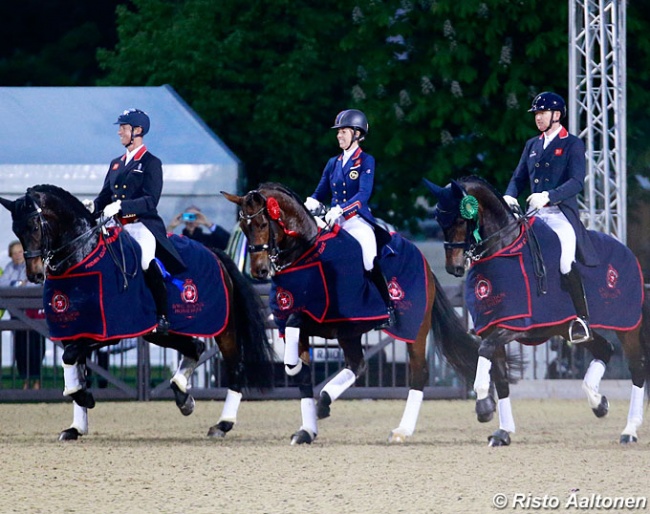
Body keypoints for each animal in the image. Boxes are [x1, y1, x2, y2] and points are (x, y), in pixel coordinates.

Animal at [0, 186, 274, 438]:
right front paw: (76, 425)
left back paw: (222, 424)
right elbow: (74, 366)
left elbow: (70, 358)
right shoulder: (74, 329)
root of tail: (214, 253)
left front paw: (84, 398)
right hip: (159, 333)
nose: (35, 274)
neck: (83, 258)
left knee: (234, 368)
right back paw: (183, 396)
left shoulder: (109, 333)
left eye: (35, 227)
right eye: (16, 231)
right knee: (194, 347)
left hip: (223, 328)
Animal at [220, 182, 478, 442]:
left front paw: (294, 367)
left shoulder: (326, 317)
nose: (260, 271)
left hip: (415, 329)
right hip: (350, 334)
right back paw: (325, 402)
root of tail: (424, 261)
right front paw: (306, 430)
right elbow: (303, 375)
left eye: (263, 224)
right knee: (357, 365)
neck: (306, 254)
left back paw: (402, 430)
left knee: (418, 373)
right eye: (244, 227)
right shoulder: (302, 326)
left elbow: (296, 328)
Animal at [422, 175, 648, 444]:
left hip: (628, 326)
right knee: (604, 349)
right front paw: (502, 431)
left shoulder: (513, 327)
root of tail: (627, 250)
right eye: (438, 219)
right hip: (568, 329)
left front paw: (483, 405)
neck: (504, 248)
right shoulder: (492, 326)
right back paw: (598, 403)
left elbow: (484, 353)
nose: (454, 267)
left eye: (460, 219)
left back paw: (629, 430)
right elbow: (501, 378)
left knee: (637, 368)